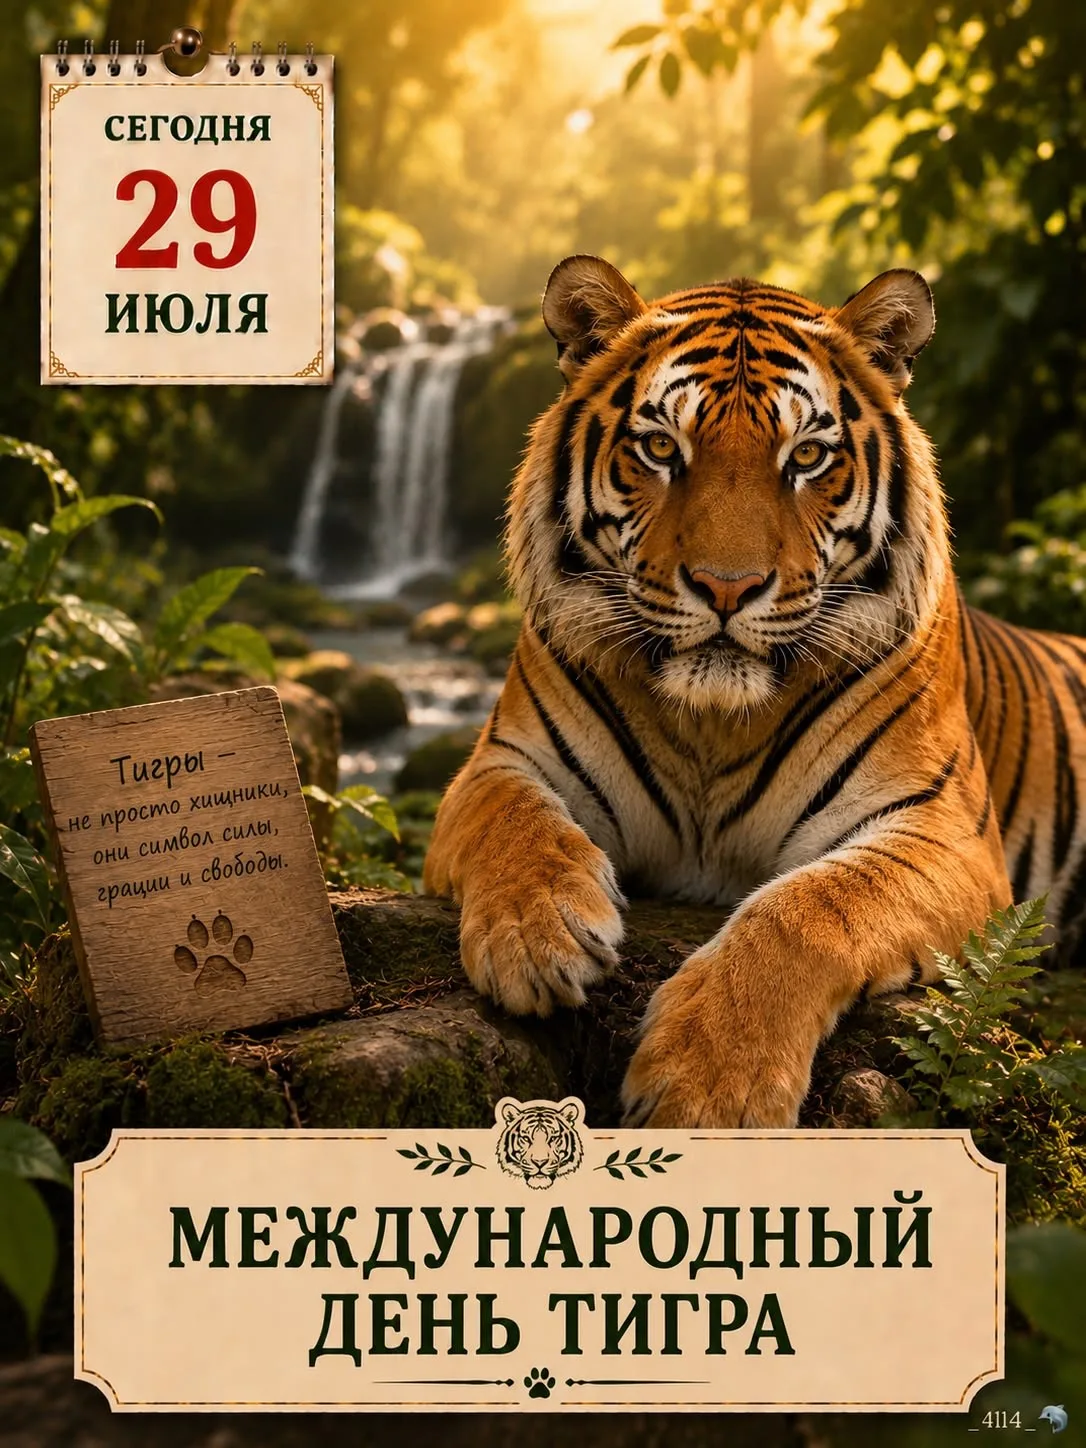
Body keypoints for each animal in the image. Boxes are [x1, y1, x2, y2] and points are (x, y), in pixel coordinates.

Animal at [424, 253, 1086, 1129]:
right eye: (660, 447)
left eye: (805, 458)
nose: (726, 587)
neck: (714, 724)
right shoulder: (501, 762)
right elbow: (515, 822)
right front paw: (534, 939)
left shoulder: (943, 830)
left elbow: (812, 908)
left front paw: (710, 1086)